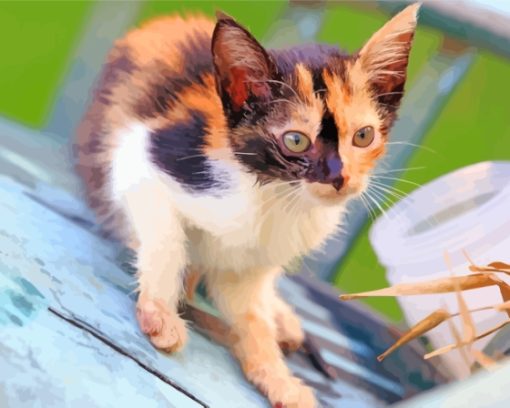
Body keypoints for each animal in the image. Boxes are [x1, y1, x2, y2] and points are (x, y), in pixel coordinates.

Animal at [74, 3, 418, 408]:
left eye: (363, 136)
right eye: (296, 141)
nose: (339, 177)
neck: (275, 192)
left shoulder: (254, 263)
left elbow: (250, 315)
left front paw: (276, 376)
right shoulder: (145, 157)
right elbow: (167, 240)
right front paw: (160, 313)